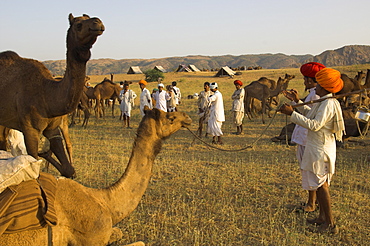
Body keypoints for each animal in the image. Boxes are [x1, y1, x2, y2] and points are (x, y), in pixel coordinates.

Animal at [0, 13, 104, 177]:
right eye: (78, 25)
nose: (97, 22)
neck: (47, 94)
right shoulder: (30, 129)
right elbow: (34, 164)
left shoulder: (53, 129)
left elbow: (68, 169)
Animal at [2, 107, 194, 246]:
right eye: (170, 117)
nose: (187, 117)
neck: (104, 200)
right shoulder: (92, 237)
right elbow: (140, 243)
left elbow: (120, 232)